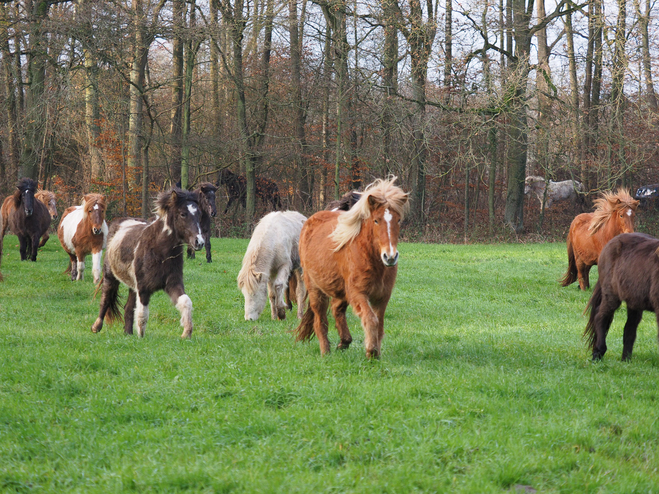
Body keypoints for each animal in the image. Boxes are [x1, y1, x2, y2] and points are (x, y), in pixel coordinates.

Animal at [91, 187, 204, 338]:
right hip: (111, 277)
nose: (199, 242)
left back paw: (128, 334)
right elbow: (142, 314)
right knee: (106, 300)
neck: (159, 250)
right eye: (183, 214)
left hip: (132, 286)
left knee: (128, 308)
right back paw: (96, 327)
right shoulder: (143, 288)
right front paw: (141, 338)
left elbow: (185, 301)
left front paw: (186, 333)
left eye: (199, 214)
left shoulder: (172, 283)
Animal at [296, 178, 410, 358]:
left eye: (398, 220)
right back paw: (326, 352)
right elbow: (370, 319)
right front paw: (371, 352)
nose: (390, 257)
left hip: (340, 289)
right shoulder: (358, 293)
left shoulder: (382, 297)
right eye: (376, 220)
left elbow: (379, 324)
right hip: (316, 289)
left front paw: (375, 352)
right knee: (320, 320)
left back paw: (344, 342)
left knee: (336, 309)